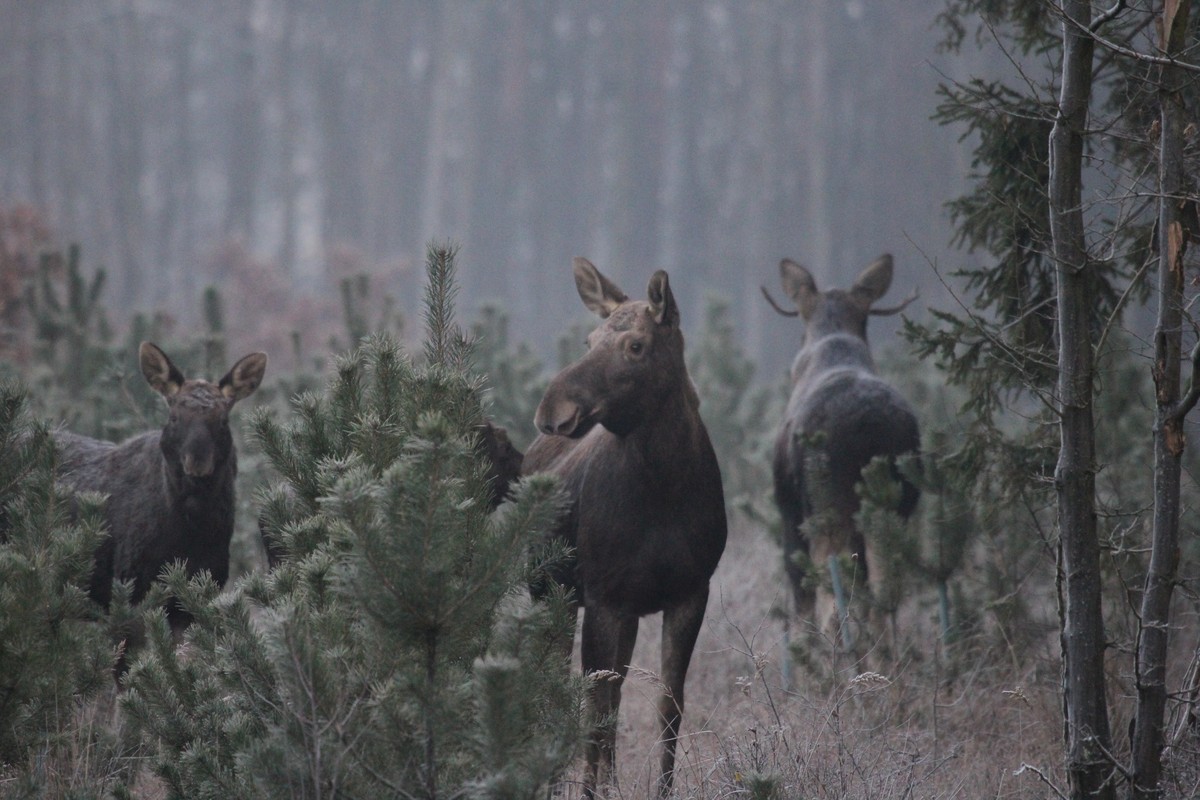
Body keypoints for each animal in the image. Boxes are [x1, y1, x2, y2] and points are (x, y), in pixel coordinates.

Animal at [53, 343, 265, 638]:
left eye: (223, 420)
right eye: (174, 417)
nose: (197, 461)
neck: (192, 533)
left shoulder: (194, 597)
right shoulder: (129, 589)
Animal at [528, 260, 729, 796]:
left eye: (636, 345)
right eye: (589, 339)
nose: (552, 411)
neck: (664, 487)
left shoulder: (689, 592)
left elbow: (668, 707)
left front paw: (660, 789)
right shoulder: (603, 597)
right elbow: (594, 713)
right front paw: (590, 791)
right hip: (550, 593)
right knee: (555, 689)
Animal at [763, 256, 921, 652]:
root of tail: (873, 435)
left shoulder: (788, 511)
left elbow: (802, 603)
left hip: (829, 513)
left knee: (834, 608)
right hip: (894, 509)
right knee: (884, 595)